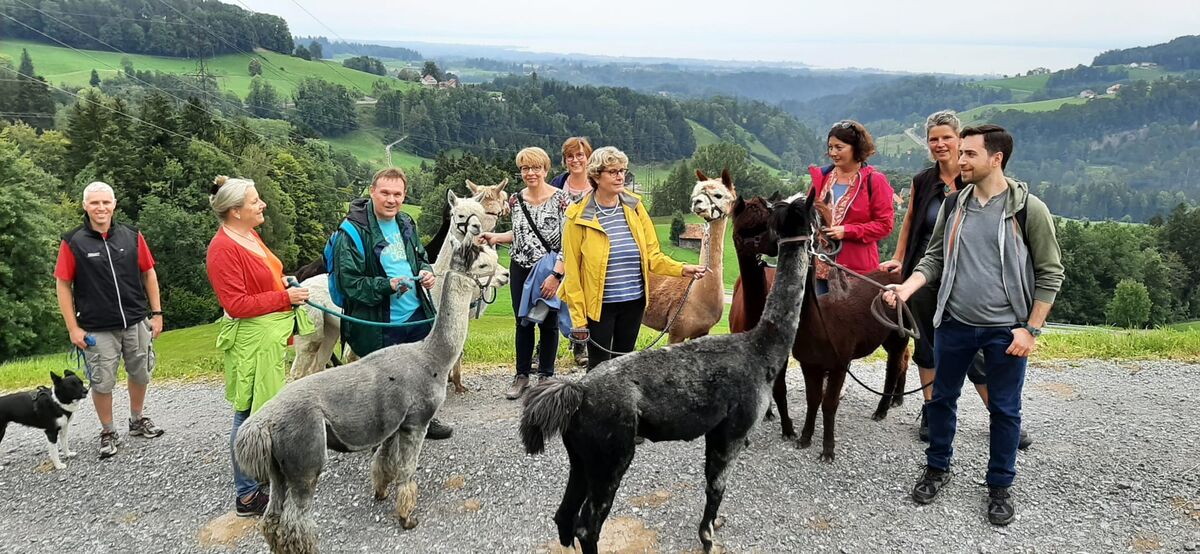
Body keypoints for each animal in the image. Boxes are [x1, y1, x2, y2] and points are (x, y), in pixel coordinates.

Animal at [234, 235, 503, 554]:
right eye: (484, 264)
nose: (505, 275)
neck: (431, 357)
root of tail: (259, 424)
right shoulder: (416, 421)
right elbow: (406, 470)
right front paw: (407, 517)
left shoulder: (392, 425)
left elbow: (383, 463)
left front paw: (381, 492)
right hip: (304, 457)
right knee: (294, 522)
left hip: (280, 468)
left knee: (272, 520)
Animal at [520, 194, 815, 554]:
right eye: (762, 223)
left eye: (769, 217)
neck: (760, 348)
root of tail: (579, 392)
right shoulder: (732, 430)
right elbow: (716, 487)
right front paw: (708, 536)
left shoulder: (716, 430)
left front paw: (714, 525)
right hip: (610, 453)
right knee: (586, 527)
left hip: (581, 456)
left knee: (563, 515)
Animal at [642, 169, 737, 343]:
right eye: (697, 193)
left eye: (718, 195)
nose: (696, 202)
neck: (698, 296)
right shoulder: (676, 330)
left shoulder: (702, 331)